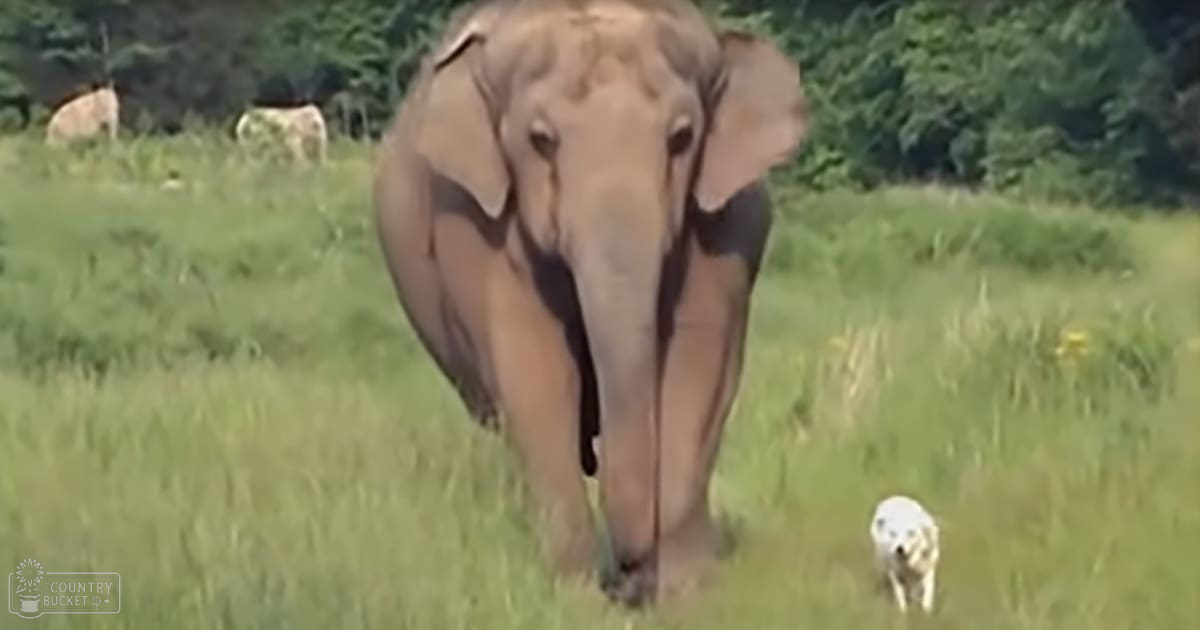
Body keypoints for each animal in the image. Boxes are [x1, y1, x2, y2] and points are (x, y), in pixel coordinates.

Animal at [372, 0, 809, 606]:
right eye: (541, 139)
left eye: (682, 137)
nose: (627, 573)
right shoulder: (473, 221)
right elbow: (535, 372)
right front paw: (572, 593)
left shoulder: (728, 225)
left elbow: (696, 363)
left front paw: (684, 591)